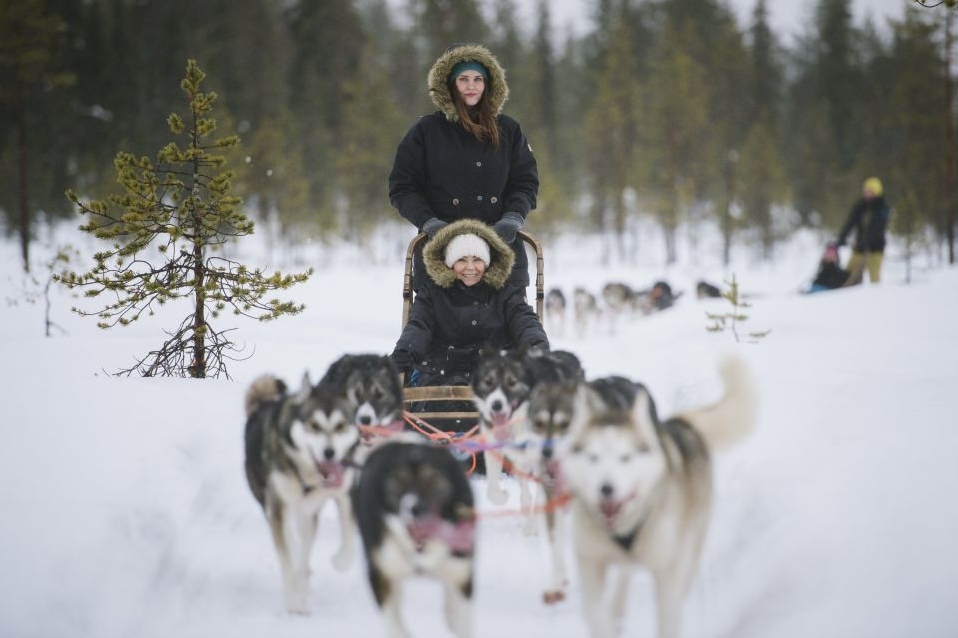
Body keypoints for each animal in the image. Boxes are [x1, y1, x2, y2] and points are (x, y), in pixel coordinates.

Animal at [246, 372, 366, 616]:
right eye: (314, 425)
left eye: (340, 425)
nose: (329, 452)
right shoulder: (279, 506)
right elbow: (288, 560)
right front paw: (294, 602)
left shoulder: (344, 495)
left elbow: (348, 542)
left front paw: (340, 561)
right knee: (293, 545)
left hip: (307, 515)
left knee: (304, 550)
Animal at [352, 440, 476, 638]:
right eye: (400, 480)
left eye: (431, 478)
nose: (415, 509)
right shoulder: (381, 572)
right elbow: (394, 625)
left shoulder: (459, 572)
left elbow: (460, 621)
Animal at [564, 360, 756, 638]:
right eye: (593, 458)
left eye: (625, 458)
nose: (606, 489)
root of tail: (680, 424)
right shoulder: (591, 562)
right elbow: (596, 613)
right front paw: (607, 623)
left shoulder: (666, 571)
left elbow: (668, 615)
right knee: (623, 580)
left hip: (689, 546)